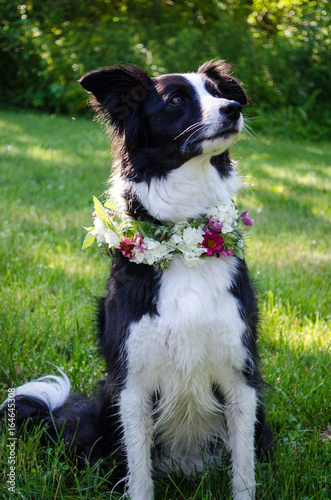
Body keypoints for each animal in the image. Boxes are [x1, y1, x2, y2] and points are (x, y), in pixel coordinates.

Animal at [0, 60, 272, 498]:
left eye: (217, 92)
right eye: (177, 99)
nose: (233, 109)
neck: (182, 239)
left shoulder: (240, 376)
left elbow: (243, 473)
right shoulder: (132, 384)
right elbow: (139, 475)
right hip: (105, 410)